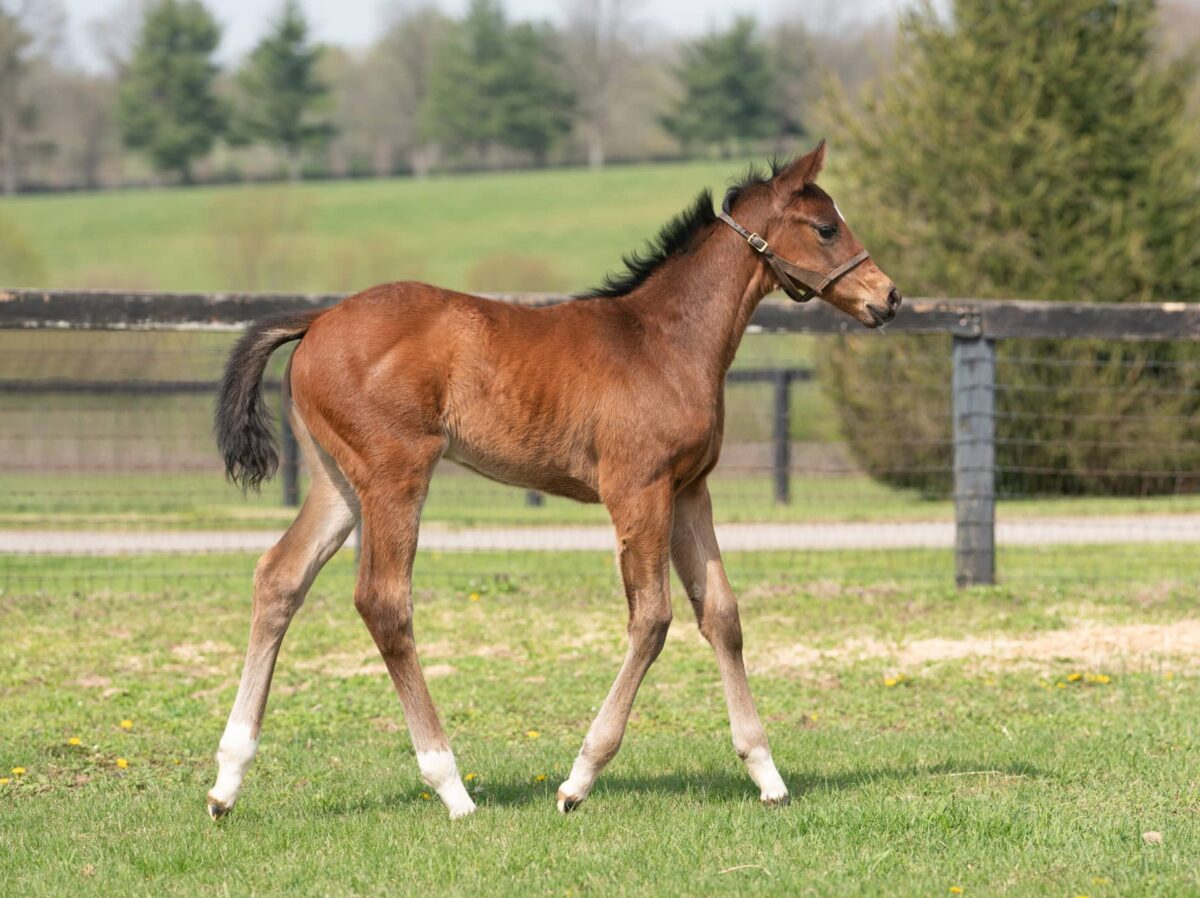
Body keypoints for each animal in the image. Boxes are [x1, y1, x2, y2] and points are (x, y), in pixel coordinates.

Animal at [208, 140, 902, 821]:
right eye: (826, 227)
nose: (889, 297)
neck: (665, 342)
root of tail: (318, 319)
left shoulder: (688, 490)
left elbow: (722, 615)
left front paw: (767, 775)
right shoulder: (638, 490)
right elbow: (652, 619)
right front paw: (578, 780)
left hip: (338, 481)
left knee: (280, 578)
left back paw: (226, 782)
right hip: (394, 474)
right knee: (383, 601)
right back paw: (452, 787)